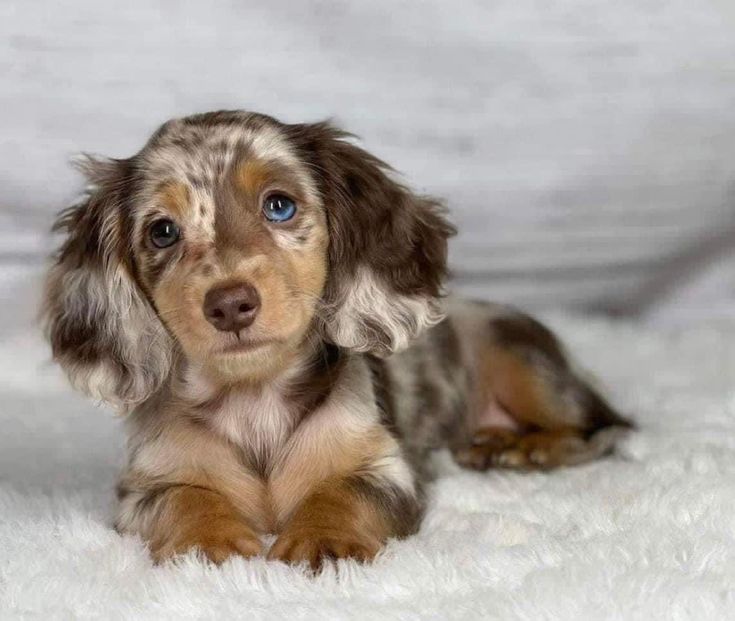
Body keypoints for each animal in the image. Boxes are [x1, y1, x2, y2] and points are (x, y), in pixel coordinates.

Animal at [41, 110, 632, 568]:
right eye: (162, 231)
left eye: (279, 205)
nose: (229, 304)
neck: (255, 400)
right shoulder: (144, 487)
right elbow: (183, 498)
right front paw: (206, 542)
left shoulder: (387, 471)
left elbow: (344, 491)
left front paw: (323, 539)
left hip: (523, 359)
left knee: (605, 428)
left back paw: (525, 448)